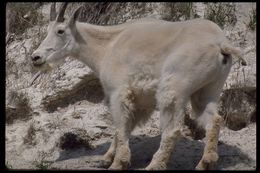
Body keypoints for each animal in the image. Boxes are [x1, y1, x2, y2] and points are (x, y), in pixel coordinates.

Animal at [31, 3, 246, 170]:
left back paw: (155, 165)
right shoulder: (141, 101)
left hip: (173, 89)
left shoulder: (118, 92)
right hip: (207, 91)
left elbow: (120, 126)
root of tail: (221, 44)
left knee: (172, 129)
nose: (36, 57)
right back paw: (205, 162)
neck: (107, 46)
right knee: (214, 120)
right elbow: (123, 128)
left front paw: (118, 162)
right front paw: (106, 158)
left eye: (60, 30)